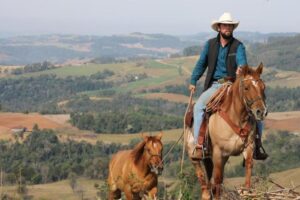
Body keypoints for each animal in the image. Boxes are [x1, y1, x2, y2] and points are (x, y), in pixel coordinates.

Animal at [185, 63, 268, 198]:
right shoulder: (218, 153)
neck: (236, 117)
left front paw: (246, 191)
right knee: (203, 178)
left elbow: (248, 168)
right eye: (246, 88)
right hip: (194, 156)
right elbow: (218, 180)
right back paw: (206, 194)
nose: (261, 112)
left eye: (263, 87)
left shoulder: (248, 147)